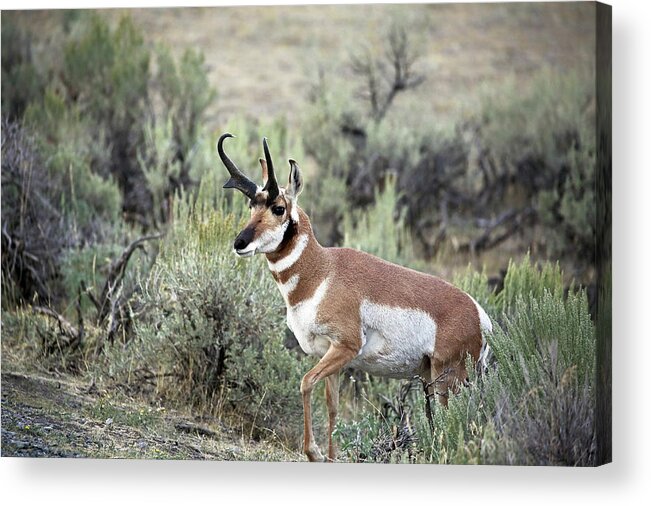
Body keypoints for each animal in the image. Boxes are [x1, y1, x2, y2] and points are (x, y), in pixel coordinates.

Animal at [216, 133, 492, 462]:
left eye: (279, 208)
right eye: (251, 204)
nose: (239, 242)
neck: (322, 272)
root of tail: (479, 314)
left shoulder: (345, 347)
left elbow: (305, 382)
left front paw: (313, 452)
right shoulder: (329, 354)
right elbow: (332, 405)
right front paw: (330, 456)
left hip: (449, 380)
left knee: (458, 419)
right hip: (434, 379)